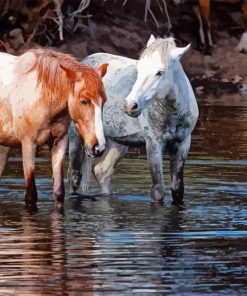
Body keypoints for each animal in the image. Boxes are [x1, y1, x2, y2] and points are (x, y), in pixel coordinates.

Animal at [0, 48, 108, 208]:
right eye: (84, 101)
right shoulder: (28, 145)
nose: (99, 147)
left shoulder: (59, 142)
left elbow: (59, 191)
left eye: (104, 101)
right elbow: (31, 195)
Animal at [67, 35, 199, 205]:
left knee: (102, 171)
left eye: (160, 72)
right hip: (76, 138)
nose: (130, 105)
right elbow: (158, 189)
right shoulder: (154, 143)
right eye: (140, 70)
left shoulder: (183, 143)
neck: (173, 114)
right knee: (74, 177)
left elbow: (177, 189)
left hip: (119, 143)